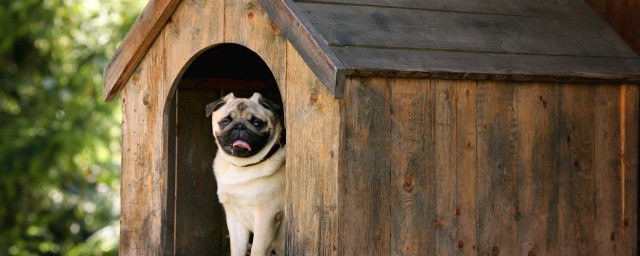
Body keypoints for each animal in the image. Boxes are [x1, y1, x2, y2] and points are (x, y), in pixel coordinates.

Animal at [205, 92, 284, 256]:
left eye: (257, 123)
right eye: (225, 121)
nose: (240, 126)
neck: (241, 167)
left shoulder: (266, 218)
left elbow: (257, 251)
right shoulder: (234, 218)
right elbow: (237, 248)